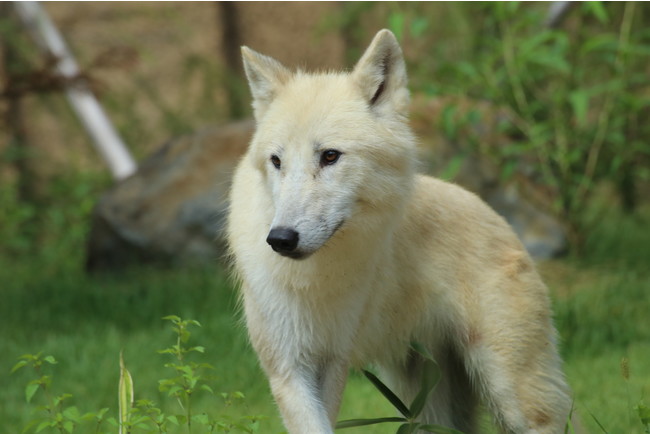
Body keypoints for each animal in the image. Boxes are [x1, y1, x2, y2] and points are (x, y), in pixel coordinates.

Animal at [225, 28, 568, 432]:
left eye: (330, 156)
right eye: (276, 161)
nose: (280, 239)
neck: (314, 279)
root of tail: (496, 216)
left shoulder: (332, 361)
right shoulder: (288, 367)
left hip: (515, 400)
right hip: (424, 407)